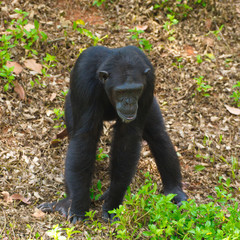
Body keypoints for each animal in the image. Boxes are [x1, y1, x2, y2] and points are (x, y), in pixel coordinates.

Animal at [38, 46, 188, 223]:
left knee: (159, 136)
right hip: (69, 102)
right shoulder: (83, 80)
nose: (129, 102)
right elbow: (84, 139)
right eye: (121, 91)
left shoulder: (149, 83)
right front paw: (79, 207)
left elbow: (127, 138)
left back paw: (174, 190)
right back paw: (67, 201)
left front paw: (112, 204)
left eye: (135, 90)